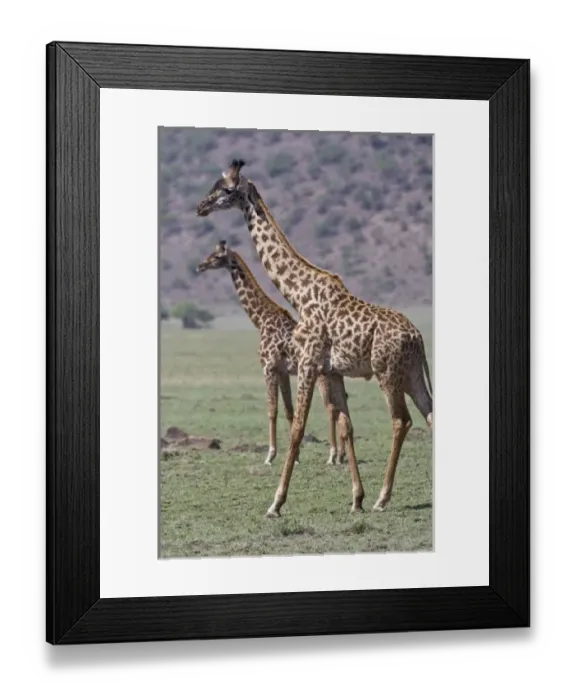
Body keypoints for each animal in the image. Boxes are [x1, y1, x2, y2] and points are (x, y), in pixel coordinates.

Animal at [196, 239, 346, 467]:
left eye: (217, 257)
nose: (200, 266)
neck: (261, 320)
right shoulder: (282, 371)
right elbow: (289, 411)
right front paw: (296, 456)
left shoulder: (268, 367)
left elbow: (272, 410)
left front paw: (270, 455)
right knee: (338, 406)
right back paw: (342, 455)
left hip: (320, 375)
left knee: (330, 407)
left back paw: (333, 455)